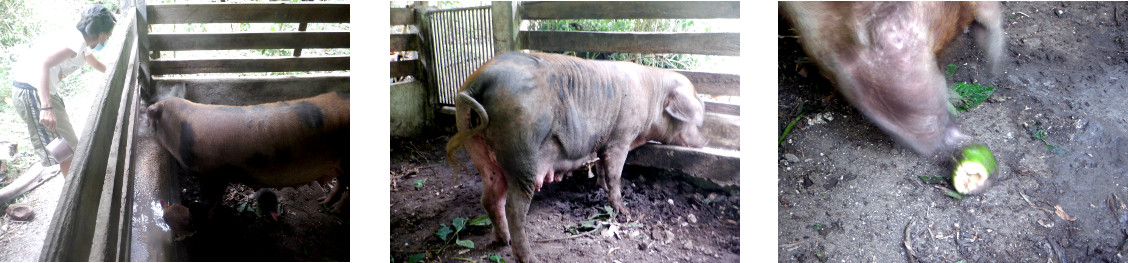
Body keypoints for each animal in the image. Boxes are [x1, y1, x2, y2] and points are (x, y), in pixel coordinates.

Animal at [145, 91, 347, 213]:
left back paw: (334, 210)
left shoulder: (212, 175)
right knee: (342, 184)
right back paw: (322, 203)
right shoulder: (221, 177)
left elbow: (209, 200)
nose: (147, 108)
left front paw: (201, 212)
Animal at [442, 51, 699, 263]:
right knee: (514, 208)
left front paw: (599, 186)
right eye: (697, 119)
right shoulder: (620, 137)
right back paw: (529, 258)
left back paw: (501, 241)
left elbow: (602, 166)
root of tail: (477, 83)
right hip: (521, 149)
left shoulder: (603, 142)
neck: (652, 98)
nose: (703, 141)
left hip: (476, 146)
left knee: (490, 197)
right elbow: (615, 174)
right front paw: (623, 211)